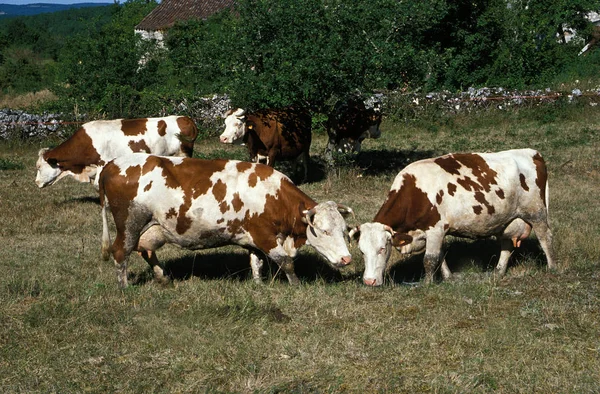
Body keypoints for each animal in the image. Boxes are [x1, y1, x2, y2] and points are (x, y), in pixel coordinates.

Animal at [98, 152, 352, 288]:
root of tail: (112, 164)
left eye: (344, 231)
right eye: (325, 231)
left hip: (151, 227)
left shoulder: (254, 239)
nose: (347, 259)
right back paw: (124, 286)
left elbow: (256, 263)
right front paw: (296, 286)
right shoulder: (265, 236)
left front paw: (258, 285)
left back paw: (163, 278)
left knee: (146, 251)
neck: (273, 195)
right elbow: (286, 262)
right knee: (121, 252)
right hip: (129, 224)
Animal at [350, 149, 556, 286]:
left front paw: (427, 284)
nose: (369, 281)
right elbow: (440, 256)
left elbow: (430, 259)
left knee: (545, 239)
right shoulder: (436, 232)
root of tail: (532, 153)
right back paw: (498, 272)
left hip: (536, 213)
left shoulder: (435, 229)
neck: (415, 192)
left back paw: (552, 268)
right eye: (361, 251)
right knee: (506, 245)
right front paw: (448, 277)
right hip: (506, 220)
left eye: (382, 249)